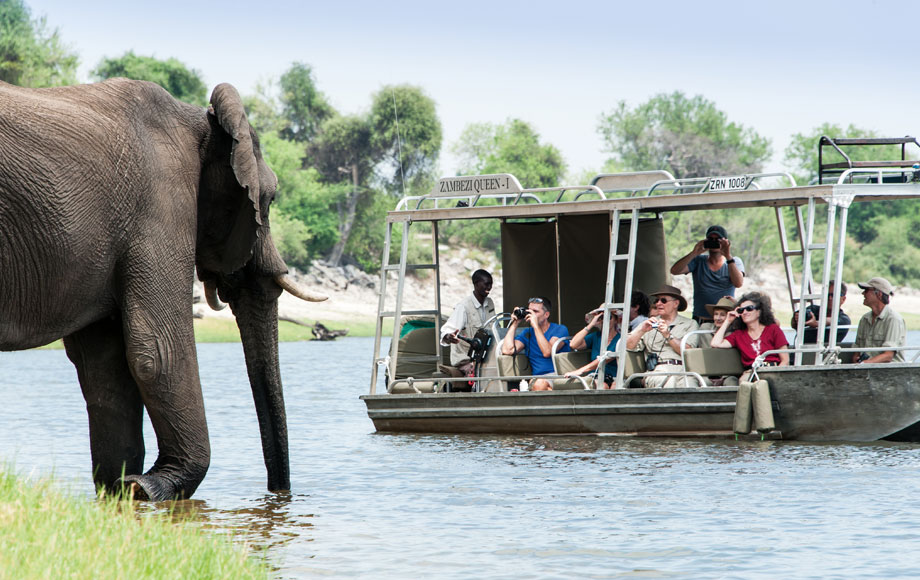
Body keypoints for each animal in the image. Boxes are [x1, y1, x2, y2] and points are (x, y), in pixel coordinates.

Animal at [0, 79, 328, 500]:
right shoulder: (160, 206)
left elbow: (103, 365)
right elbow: (158, 349)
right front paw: (150, 486)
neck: (200, 123)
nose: (278, 496)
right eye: (268, 200)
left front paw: (121, 489)